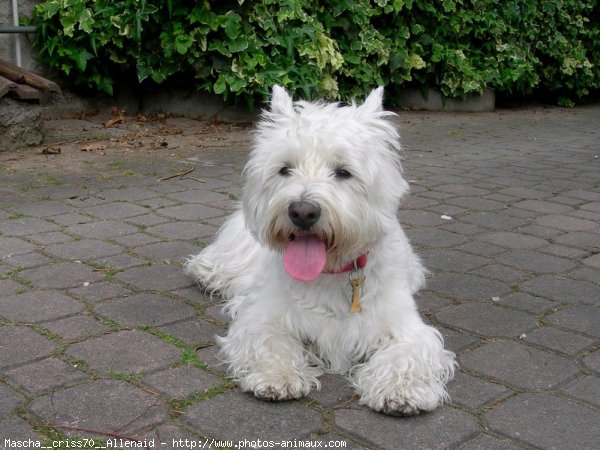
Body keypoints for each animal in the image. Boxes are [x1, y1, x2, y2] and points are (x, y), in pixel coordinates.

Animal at [185, 86, 452, 416]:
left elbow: (406, 354)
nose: (302, 212)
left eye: (343, 172)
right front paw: (278, 376)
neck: (329, 273)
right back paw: (206, 274)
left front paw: (400, 391)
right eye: (284, 169)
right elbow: (271, 341)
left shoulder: (405, 327)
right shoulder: (262, 315)